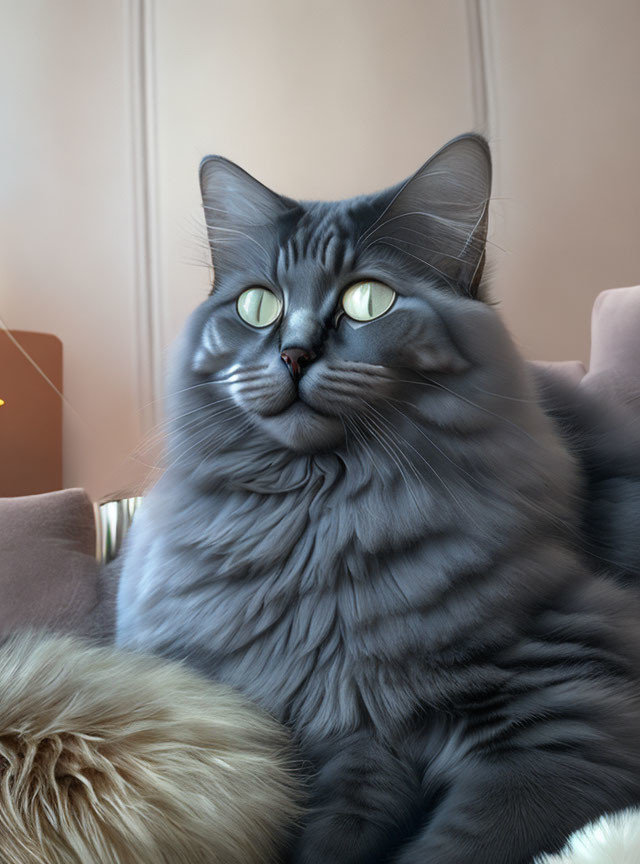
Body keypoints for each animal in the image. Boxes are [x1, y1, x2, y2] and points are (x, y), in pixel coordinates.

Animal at [115, 137, 640, 864]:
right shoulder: (344, 746)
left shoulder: (571, 717)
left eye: (370, 301)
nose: (293, 353)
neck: (320, 529)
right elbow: (328, 839)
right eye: (258, 306)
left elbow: (451, 847)